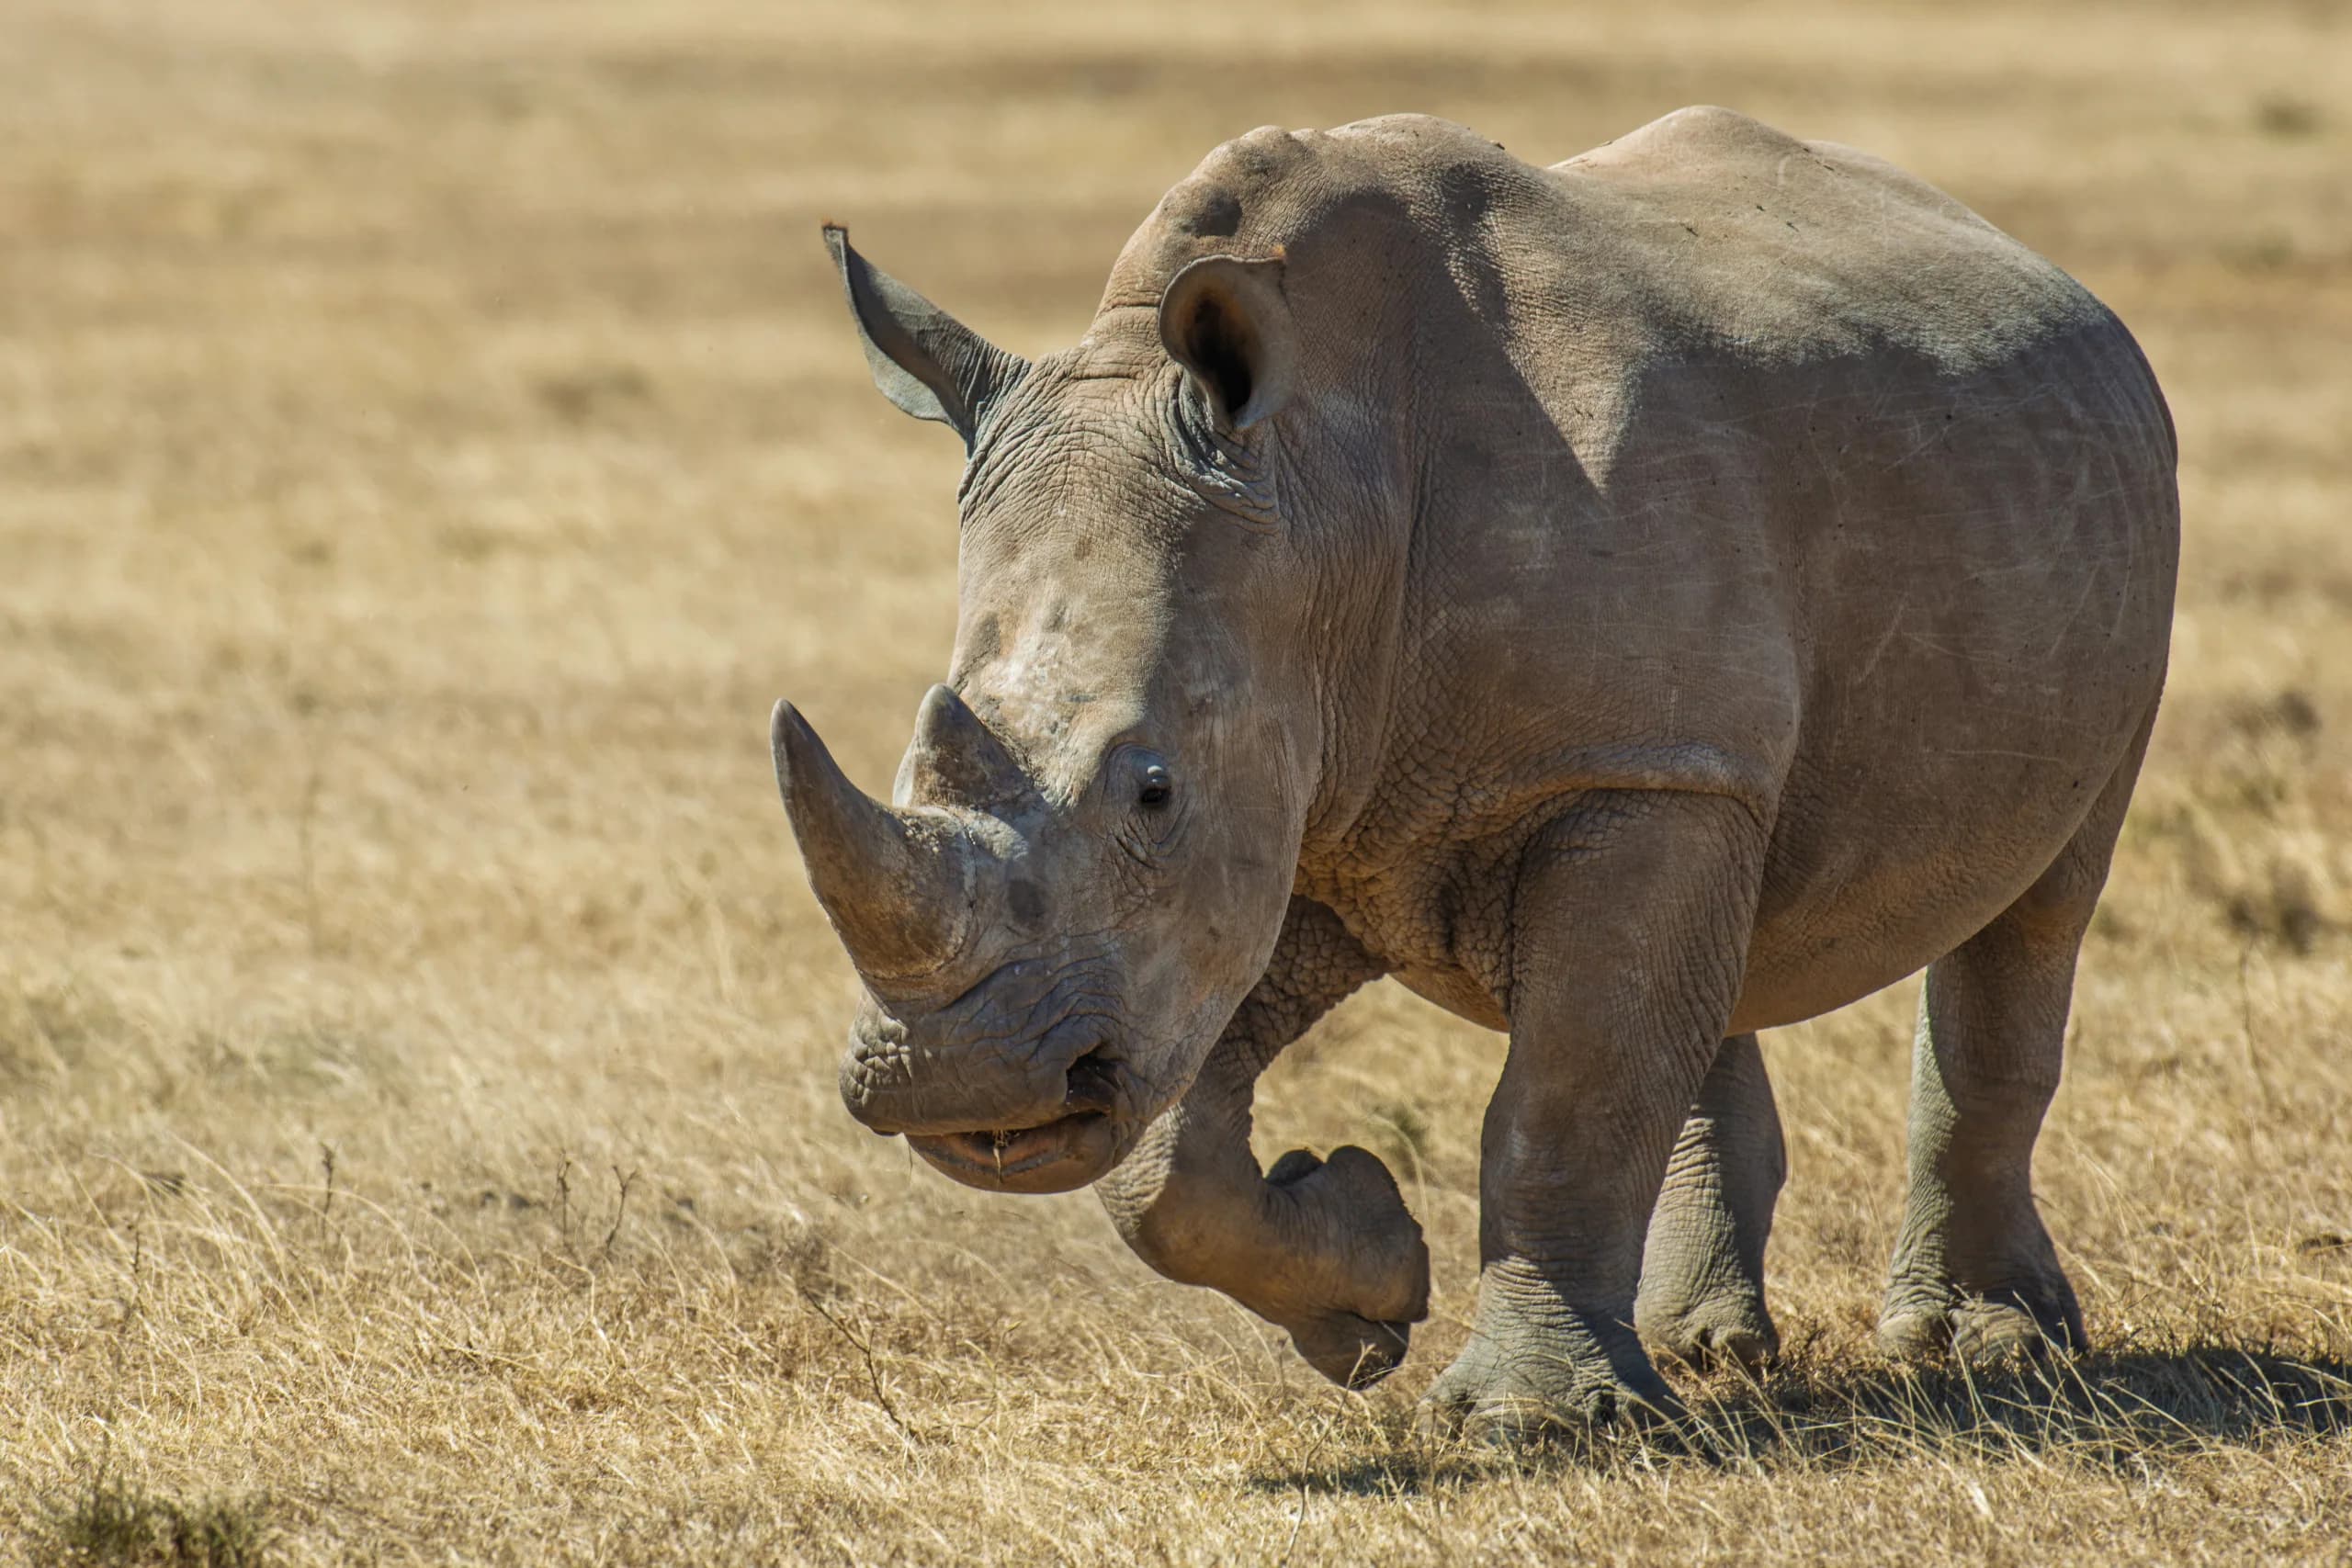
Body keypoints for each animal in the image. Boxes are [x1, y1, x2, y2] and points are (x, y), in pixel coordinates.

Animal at [773, 107, 2177, 1440]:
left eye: (1154, 790)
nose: (951, 1086)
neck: (1324, 483)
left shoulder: (1607, 768)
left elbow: (1566, 1096)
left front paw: (1529, 1420)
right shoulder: (1318, 806)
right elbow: (1165, 1147)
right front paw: (1366, 1279)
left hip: (2099, 538)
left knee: (2038, 903)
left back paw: (1989, 1352)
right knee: (1714, 942)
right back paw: (1701, 1351)